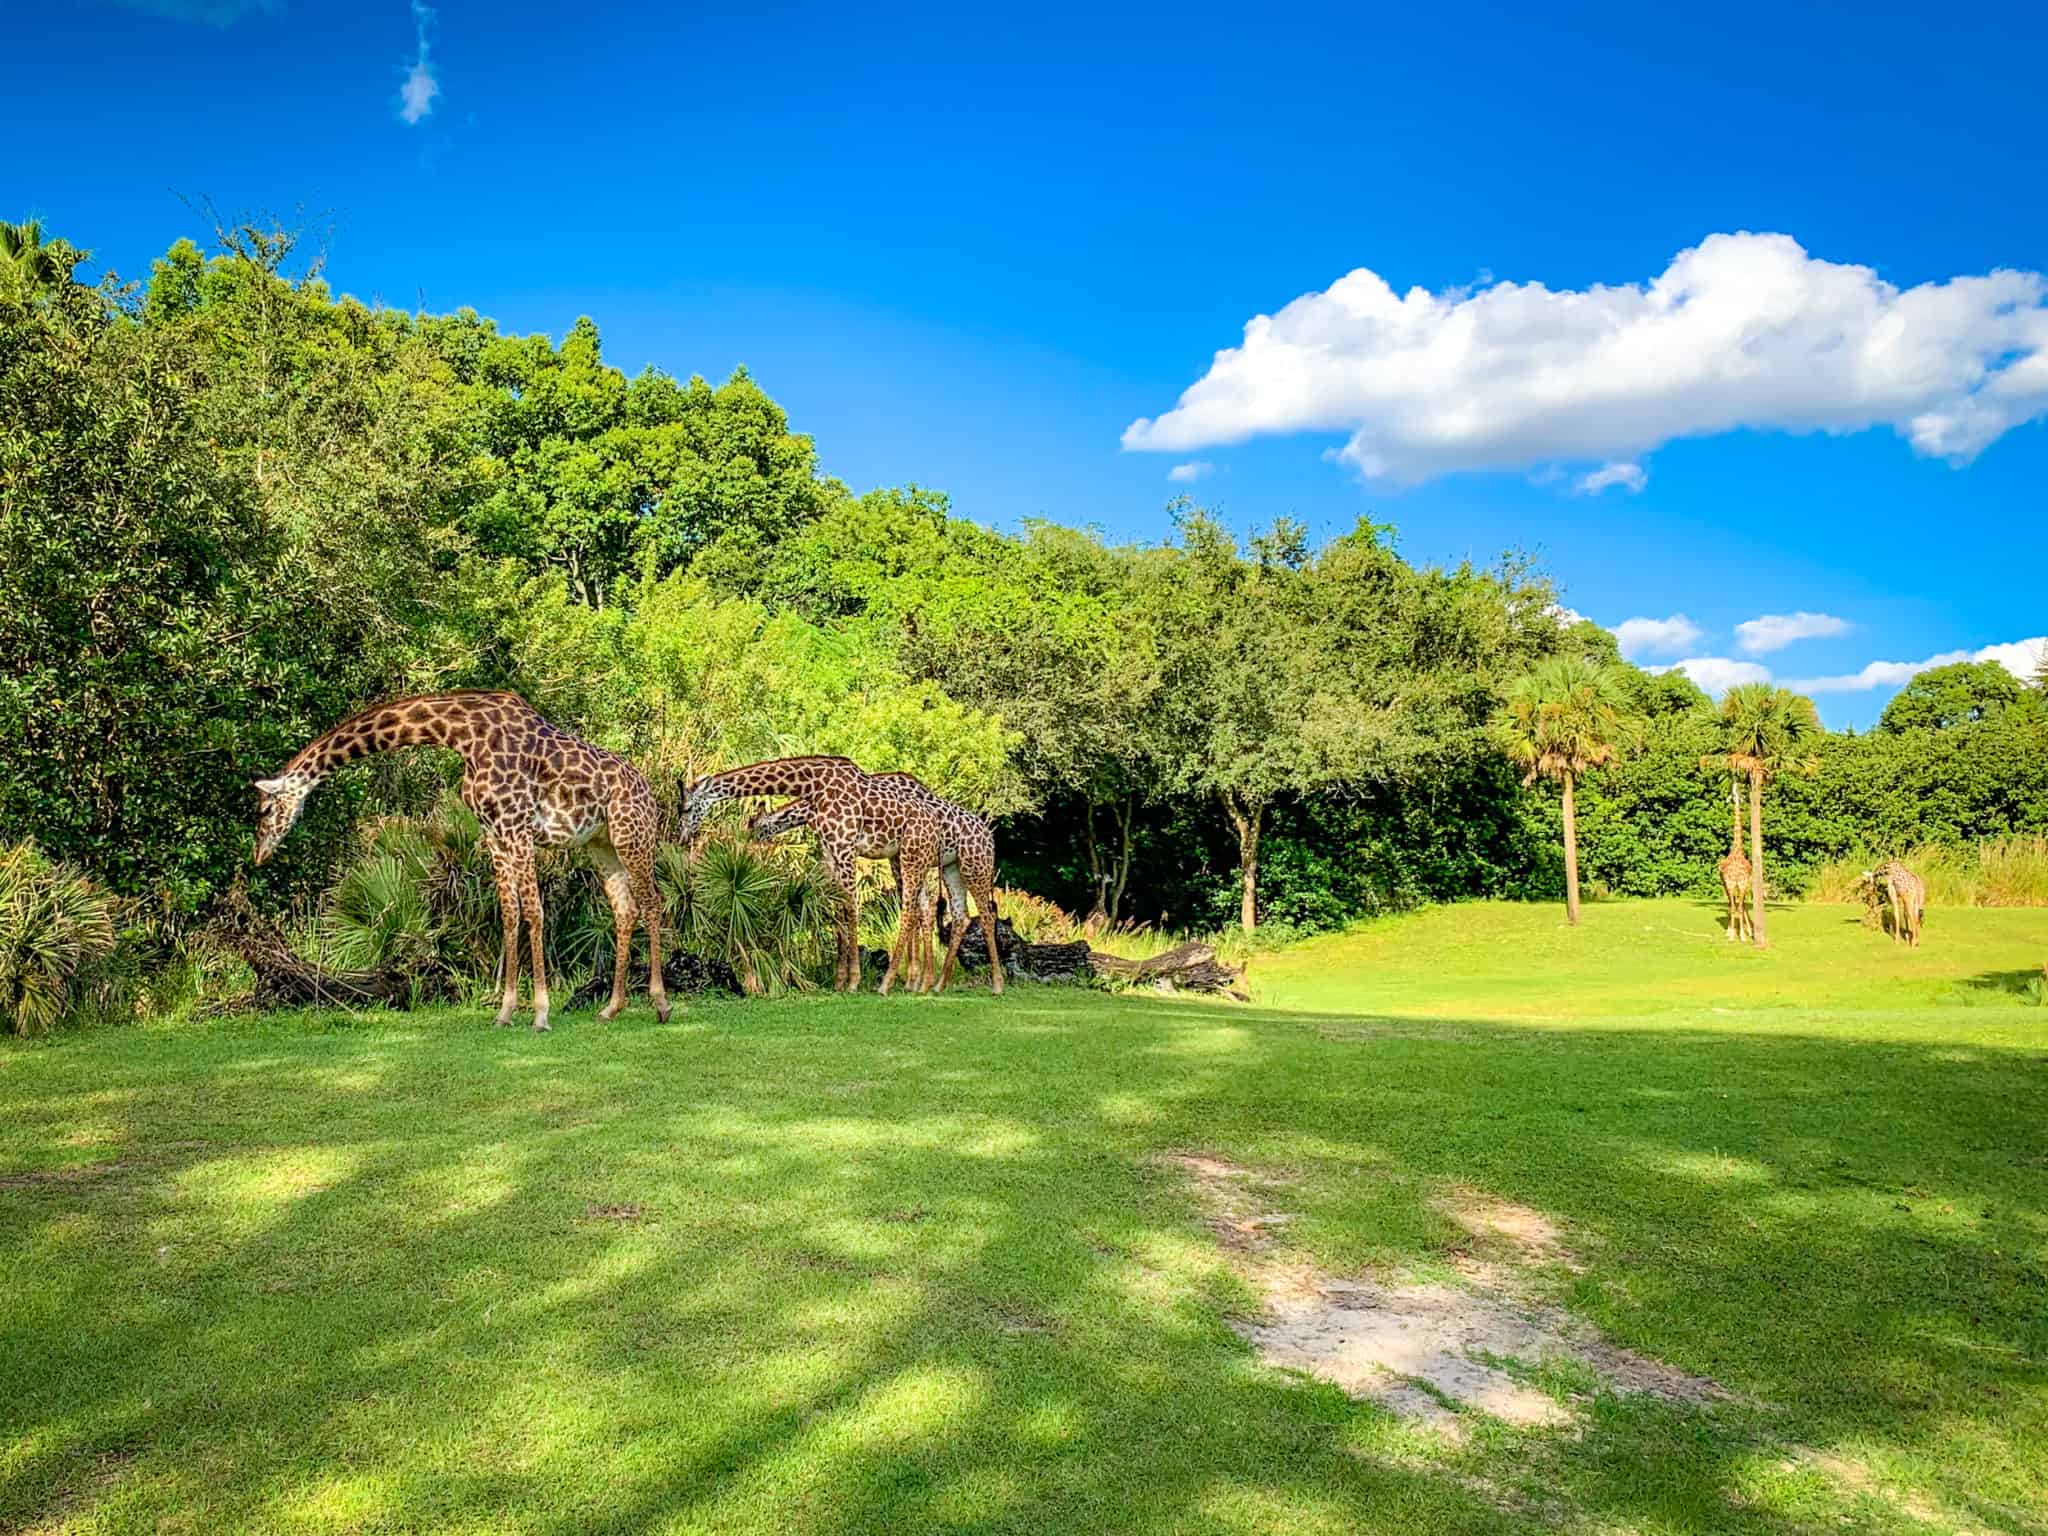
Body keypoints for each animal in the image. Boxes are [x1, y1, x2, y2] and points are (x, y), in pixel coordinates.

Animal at [252, 691, 668, 1031]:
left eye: (266, 809)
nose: (259, 855)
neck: (462, 735)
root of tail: (649, 791)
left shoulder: (518, 829)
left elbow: (535, 913)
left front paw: (541, 1014)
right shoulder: (495, 835)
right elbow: (510, 915)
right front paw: (505, 1012)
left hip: (633, 836)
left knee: (653, 901)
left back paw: (661, 1003)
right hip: (602, 845)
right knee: (625, 909)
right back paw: (611, 1008)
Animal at [678, 758, 1004, 996]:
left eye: (688, 807)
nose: (682, 837)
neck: (813, 789)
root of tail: (989, 836)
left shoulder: (847, 848)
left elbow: (850, 907)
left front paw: (853, 980)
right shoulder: (830, 852)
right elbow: (836, 910)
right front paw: (839, 979)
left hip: (961, 863)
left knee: (971, 912)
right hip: (947, 866)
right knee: (955, 915)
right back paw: (933, 984)